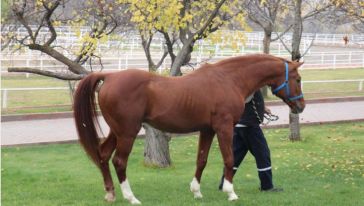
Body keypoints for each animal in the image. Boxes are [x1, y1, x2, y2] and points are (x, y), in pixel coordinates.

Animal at [72, 53, 304, 204]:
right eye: (298, 79)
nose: (301, 106)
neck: (229, 79)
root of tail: (110, 76)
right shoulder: (224, 128)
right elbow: (229, 159)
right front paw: (230, 192)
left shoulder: (207, 130)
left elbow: (201, 160)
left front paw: (196, 191)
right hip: (128, 133)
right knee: (119, 162)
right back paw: (131, 197)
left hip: (117, 131)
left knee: (103, 155)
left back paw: (110, 194)